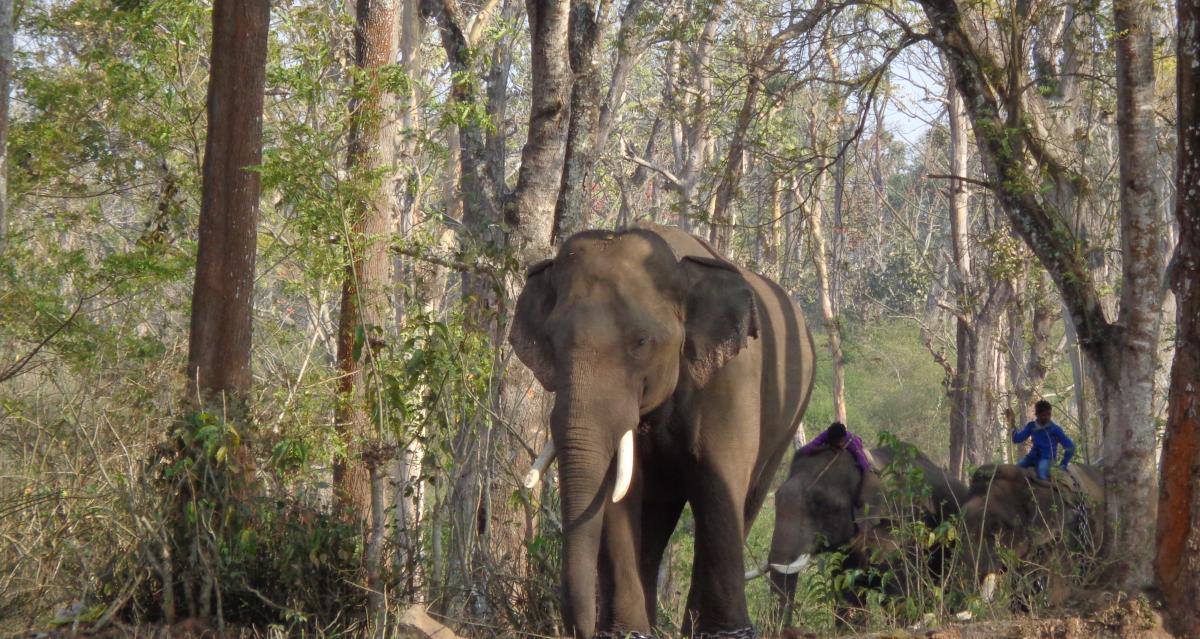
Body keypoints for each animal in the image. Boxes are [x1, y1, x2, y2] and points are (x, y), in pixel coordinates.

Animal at [509, 225, 816, 638]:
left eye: (641, 342)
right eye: (551, 342)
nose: (580, 629)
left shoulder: (730, 382)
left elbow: (717, 482)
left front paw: (725, 635)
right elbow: (619, 492)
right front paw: (625, 633)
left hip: (787, 420)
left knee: (746, 499)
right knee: (656, 518)